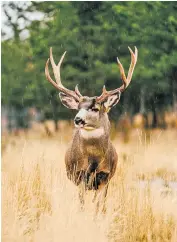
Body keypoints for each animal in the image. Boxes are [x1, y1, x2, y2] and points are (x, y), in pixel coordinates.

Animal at [45, 46, 138, 211]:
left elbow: (99, 206)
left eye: (95, 108)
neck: (94, 160)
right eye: (78, 107)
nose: (78, 119)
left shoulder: (105, 177)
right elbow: (82, 204)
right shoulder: (80, 175)